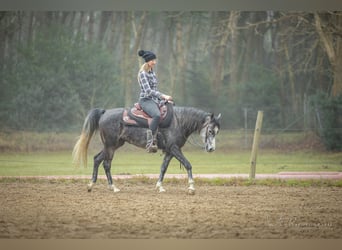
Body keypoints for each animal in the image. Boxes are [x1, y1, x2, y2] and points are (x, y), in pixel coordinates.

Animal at [73, 102, 222, 194]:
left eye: (217, 131)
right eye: (210, 131)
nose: (211, 149)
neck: (178, 121)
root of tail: (104, 113)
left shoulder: (170, 151)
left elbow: (163, 168)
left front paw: (160, 187)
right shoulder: (174, 148)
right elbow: (188, 164)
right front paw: (191, 187)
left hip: (114, 145)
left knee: (97, 159)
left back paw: (91, 185)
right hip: (110, 145)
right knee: (106, 164)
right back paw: (113, 187)